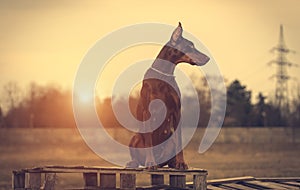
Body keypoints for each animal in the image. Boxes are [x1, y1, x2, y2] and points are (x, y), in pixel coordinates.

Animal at [127, 22, 210, 169]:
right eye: (190, 46)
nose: (208, 58)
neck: (164, 75)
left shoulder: (177, 111)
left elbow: (180, 140)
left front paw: (181, 163)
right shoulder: (147, 111)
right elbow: (149, 140)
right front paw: (150, 163)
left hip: (169, 140)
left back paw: (173, 163)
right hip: (135, 137)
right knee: (137, 155)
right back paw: (135, 163)